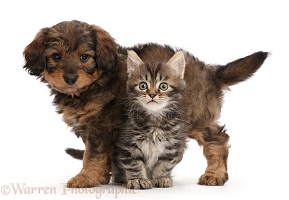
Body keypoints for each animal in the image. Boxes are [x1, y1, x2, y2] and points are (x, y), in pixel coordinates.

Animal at [112, 50, 189, 189]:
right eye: (143, 86)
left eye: (163, 86)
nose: (152, 94)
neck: (155, 119)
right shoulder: (128, 144)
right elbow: (134, 164)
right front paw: (138, 179)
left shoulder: (171, 145)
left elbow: (164, 163)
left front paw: (161, 178)